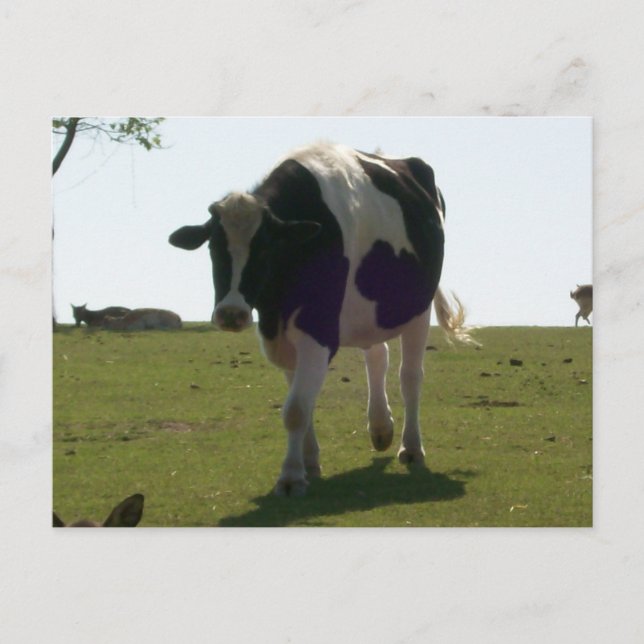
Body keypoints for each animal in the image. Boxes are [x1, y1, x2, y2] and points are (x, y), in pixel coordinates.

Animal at [169, 142, 474, 496]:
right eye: (213, 248)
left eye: (266, 248)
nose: (231, 312)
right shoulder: (281, 336)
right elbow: (303, 402)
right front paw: (309, 462)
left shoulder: (317, 329)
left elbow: (296, 409)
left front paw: (290, 476)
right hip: (370, 306)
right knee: (377, 355)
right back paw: (380, 428)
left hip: (418, 309)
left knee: (410, 377)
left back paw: (411, 448)